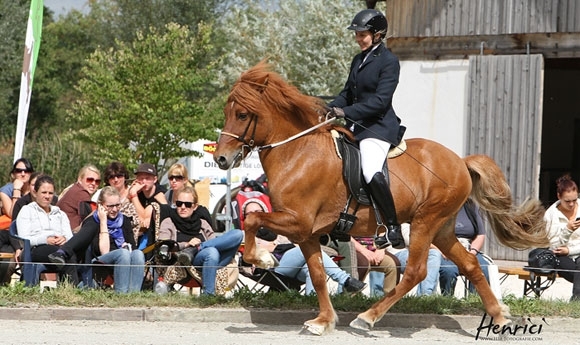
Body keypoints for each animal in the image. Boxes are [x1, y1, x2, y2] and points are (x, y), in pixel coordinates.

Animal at [215, 61, 552, 334]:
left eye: (242, 114)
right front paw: (323, 321)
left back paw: (367, 317)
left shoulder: (297, 222)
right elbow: (318, 274)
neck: (298, 152)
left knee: (416, 272)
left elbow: (252, 218)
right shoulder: (307, 233)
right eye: (227, 112)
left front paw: (262, 257)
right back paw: (499, 318)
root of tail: (460, 161)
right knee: (469, 263)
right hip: (442, 228)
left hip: (425, 222)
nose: (220, 159)